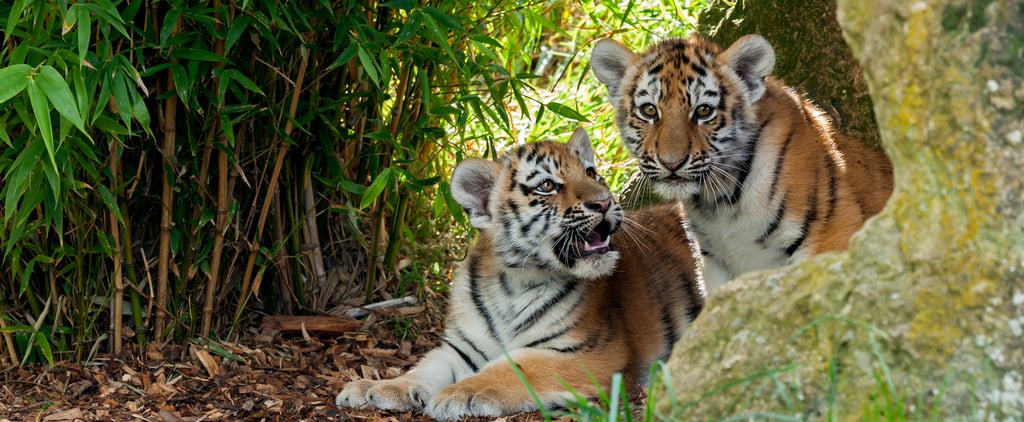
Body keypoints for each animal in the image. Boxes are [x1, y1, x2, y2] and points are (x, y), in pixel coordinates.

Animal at [335, 128, 705, 420]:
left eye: (592, 173)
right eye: (547, 186)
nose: (604, 201)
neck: (514, 282)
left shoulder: (594, 351)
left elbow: (516, 366)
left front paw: (460, 393)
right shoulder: (461, 346)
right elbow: (425, 366)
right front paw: (374, 388)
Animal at [590, 34, 893, 291]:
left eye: (704, 111)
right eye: (649, 110)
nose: (671, 163)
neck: (721, 201)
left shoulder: (831, 233)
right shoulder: (715, 263)